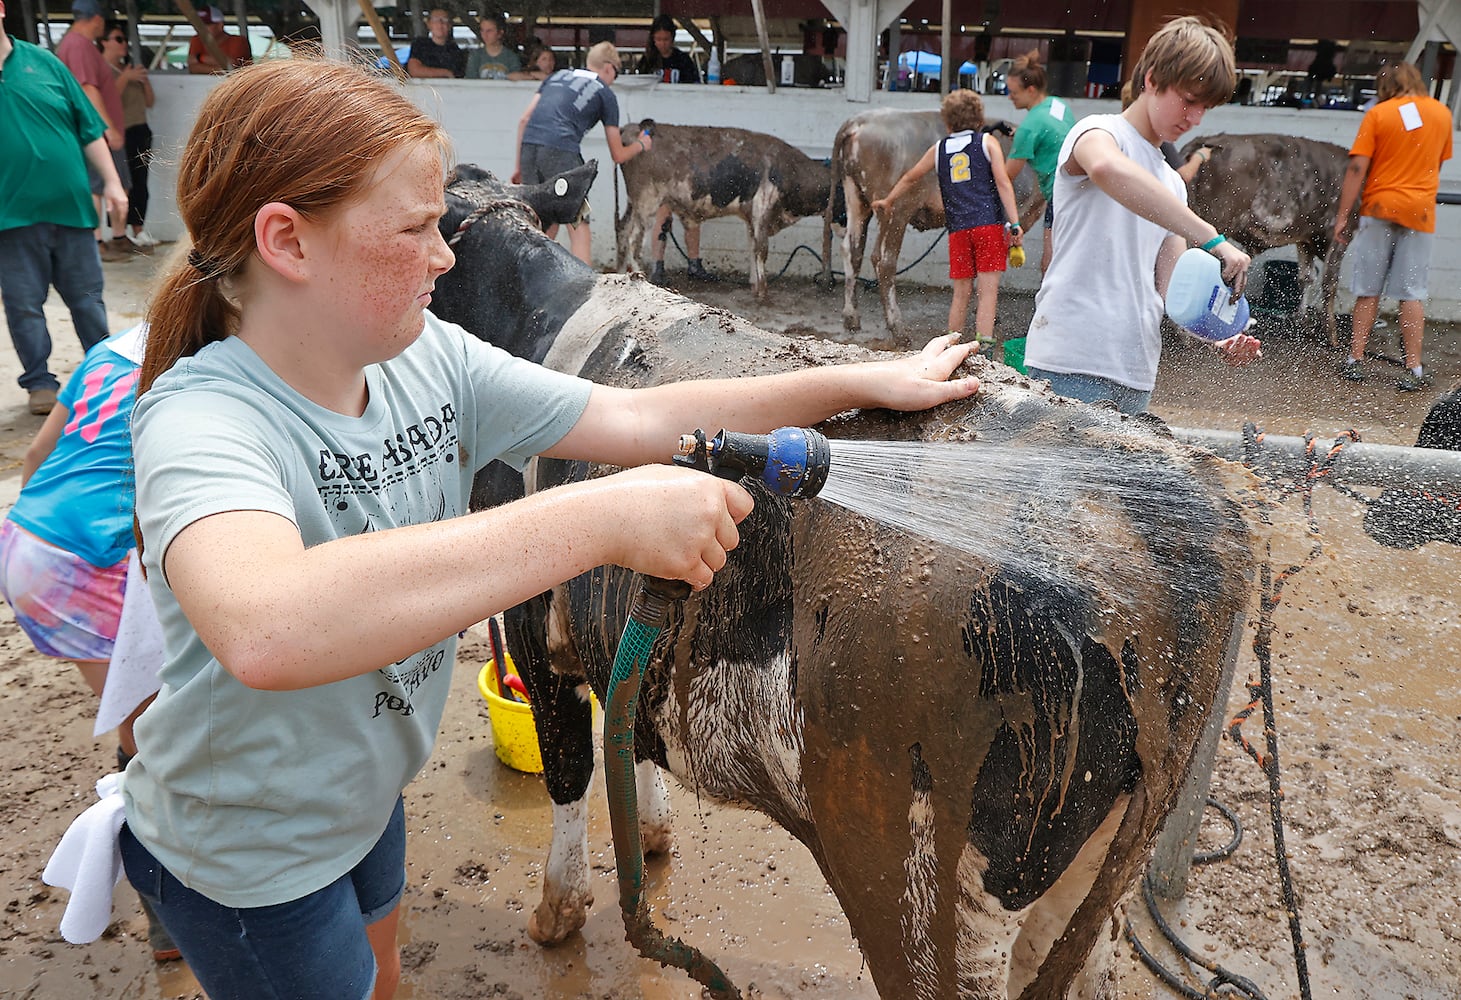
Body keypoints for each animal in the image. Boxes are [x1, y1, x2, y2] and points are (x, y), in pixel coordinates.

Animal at [429, 168, 1256, 994]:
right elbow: (624, 729)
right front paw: (652, 834)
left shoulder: (535, 622)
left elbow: (568, 766)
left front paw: (557, 910)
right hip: (1096, 885)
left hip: (917, 893)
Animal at [619, 122, 835, 301]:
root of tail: (632, 128)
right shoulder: (761, 211)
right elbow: (761, 250)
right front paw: (763, 292)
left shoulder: (751, 219)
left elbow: (752, 248)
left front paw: (754, 285)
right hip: (647, 203)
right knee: (634, 240)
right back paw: (639, 275)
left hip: (635, 206)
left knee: (623, 233)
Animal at [824, 108, 1040, 337]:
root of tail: (858, 121)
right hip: (896, 210)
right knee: (883, 260)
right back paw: (897, 327)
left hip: (856, 199)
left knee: (852, 251)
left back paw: (851, 317)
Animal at [1180, 133, 1349, 343]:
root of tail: (1206, 140)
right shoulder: (1341, 234)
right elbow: (1330, 282)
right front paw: (1332, 336)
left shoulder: (1305, 238)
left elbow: (1306, 277)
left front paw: (1302, 320)